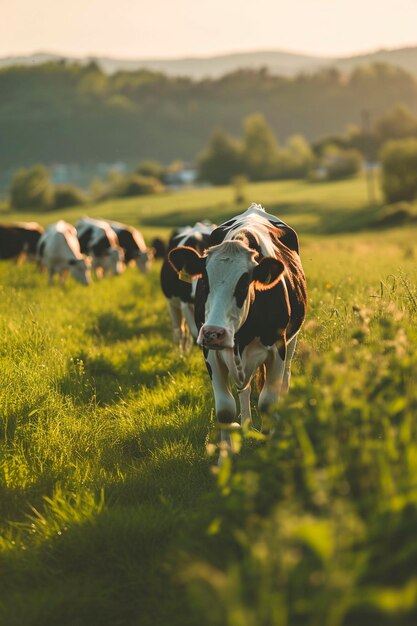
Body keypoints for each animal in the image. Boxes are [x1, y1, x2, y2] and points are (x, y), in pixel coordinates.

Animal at [167, 205, 308, 448]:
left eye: (243, 284)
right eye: (204, 282)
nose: (214, 333)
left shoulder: (277, 347)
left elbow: (268, 402)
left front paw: (269, 443)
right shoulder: (210, 352)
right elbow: (225, 409)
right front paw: (226, 451)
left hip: (291, 341)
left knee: (285, 379)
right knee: (245, 389)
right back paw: (246, 425)